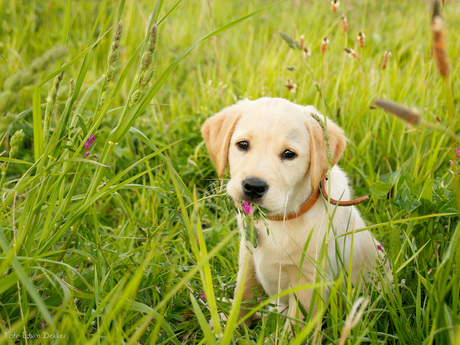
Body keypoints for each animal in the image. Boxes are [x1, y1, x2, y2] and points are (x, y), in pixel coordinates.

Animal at [201, 97, 384, 326]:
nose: (253, 186)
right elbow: (242, 294)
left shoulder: (309, 279)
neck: (282, 218)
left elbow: (296, 324)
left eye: (289, 154)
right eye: (243, 144)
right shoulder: (248, 256)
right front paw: (230, 325)